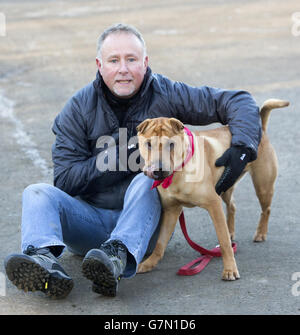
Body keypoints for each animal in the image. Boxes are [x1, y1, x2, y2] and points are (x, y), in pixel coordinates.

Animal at [137, 99, 290, 280]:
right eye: (148, 144)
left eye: (171, 144)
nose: (158, 170)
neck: (179, 173)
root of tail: (262, 131)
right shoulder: (171, 210)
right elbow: (160, 243)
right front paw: (149, 263)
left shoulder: (213, 204)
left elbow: (223, 242)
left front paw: (230, 269)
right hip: (226, 187)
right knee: (232, 207)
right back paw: (232, 231)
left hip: (262, 186)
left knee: (266, 209)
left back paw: (260, 233)